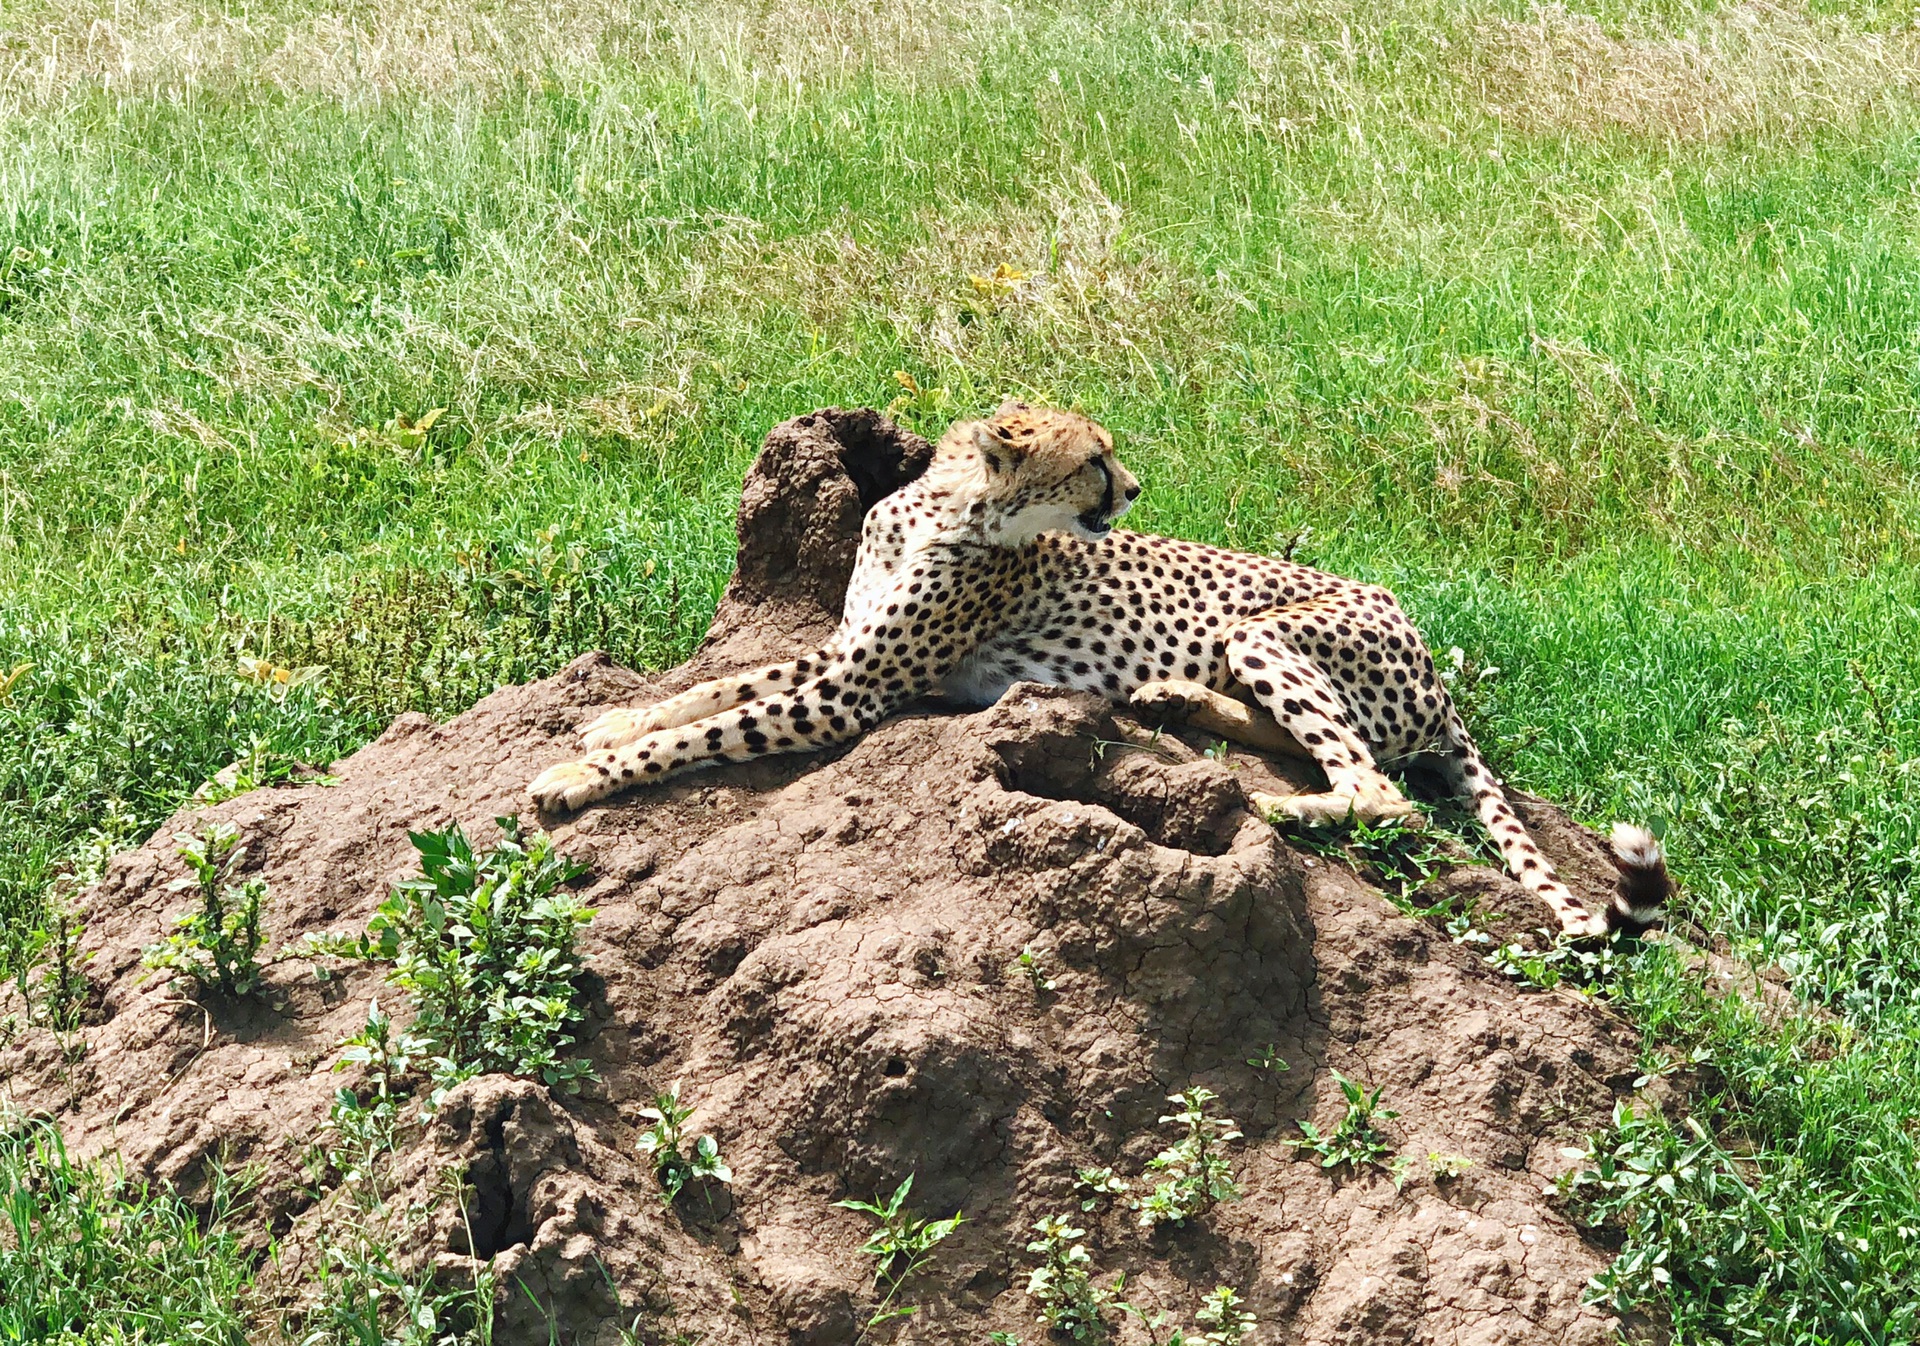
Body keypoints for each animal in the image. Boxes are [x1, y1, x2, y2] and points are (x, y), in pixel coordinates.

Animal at [533, 405, 1674, 940]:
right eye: (1094, 457)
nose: (1133, 487)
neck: (943, 508)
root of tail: (1436, 666)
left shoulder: (859, 688)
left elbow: (717, 724)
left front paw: (578, 777)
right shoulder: (848, 654)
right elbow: (718, 688)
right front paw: (605, 729)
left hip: (1274, 636)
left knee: (1375, 789)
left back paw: (1260, 805)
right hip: (1265, 650)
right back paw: (1175, 699)